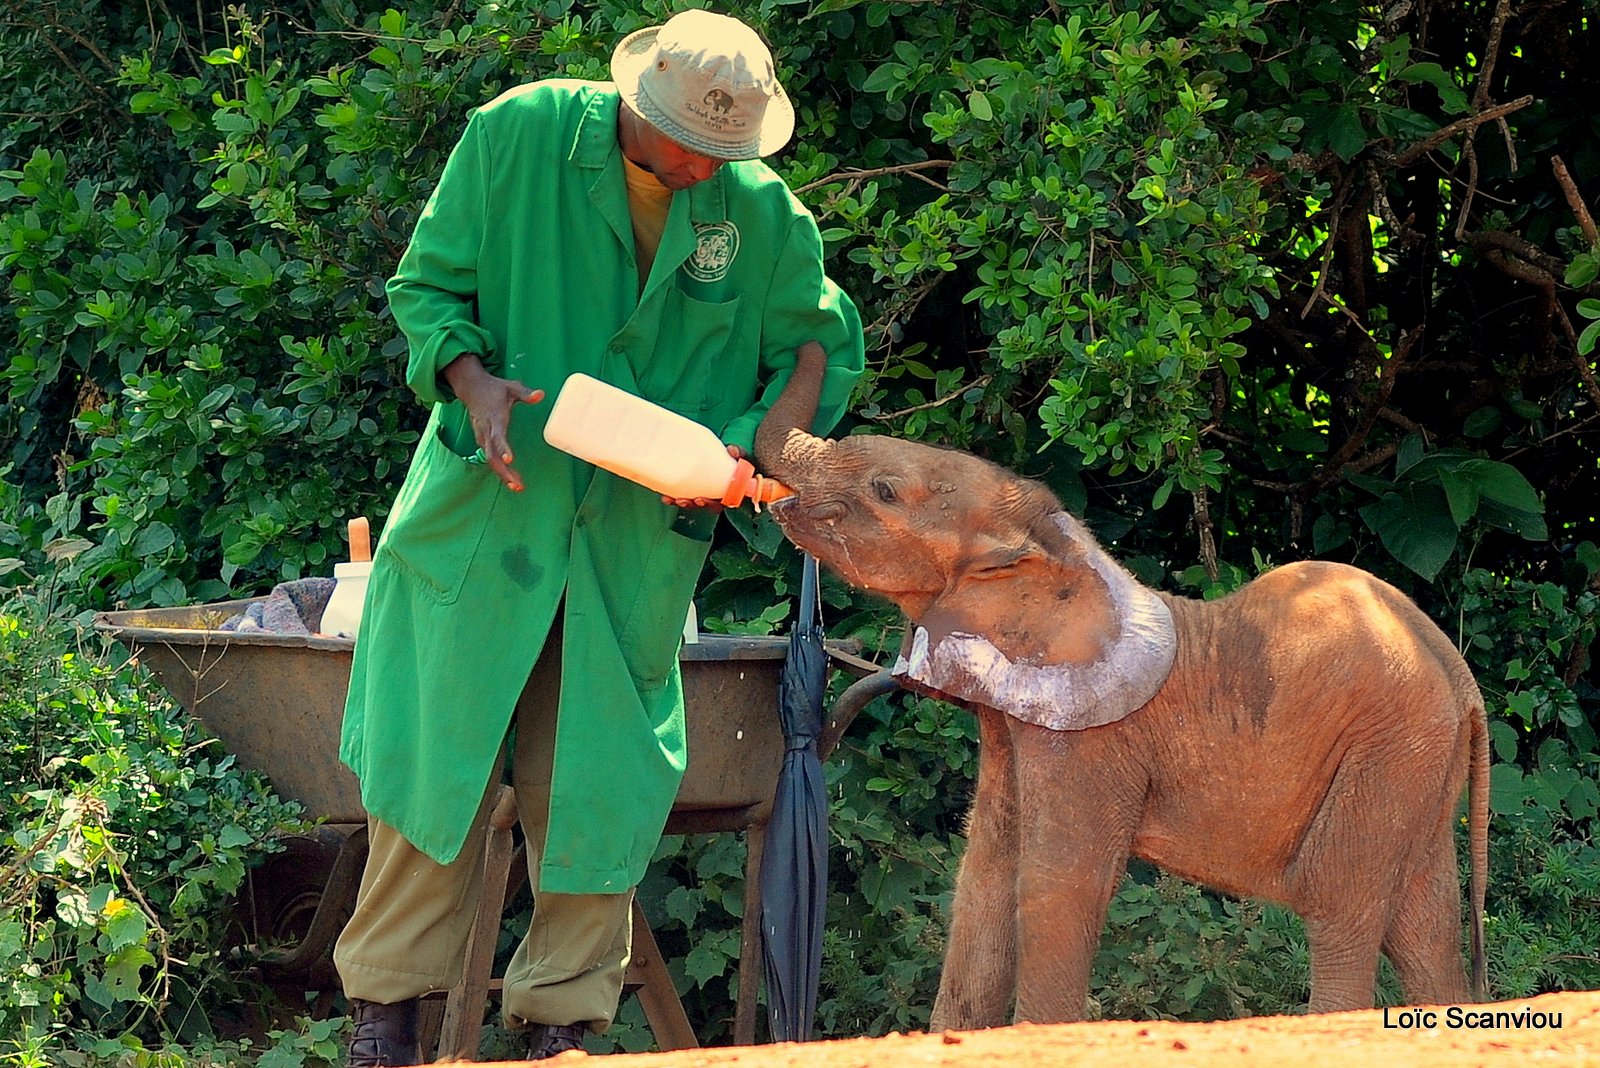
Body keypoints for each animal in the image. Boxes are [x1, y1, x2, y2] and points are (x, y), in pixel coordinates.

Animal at [748, 351, 1484, 1023]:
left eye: (885, 491)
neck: (1056, 547)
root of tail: (1458, 673)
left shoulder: (1088, 740)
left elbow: (1057, 884)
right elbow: (985, 876)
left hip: (1386, 750)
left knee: (1339, 908)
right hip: (1417, 768)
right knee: (1424, 928)